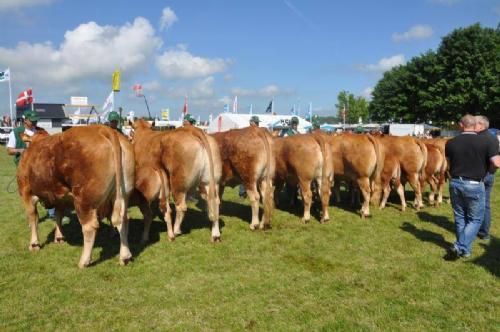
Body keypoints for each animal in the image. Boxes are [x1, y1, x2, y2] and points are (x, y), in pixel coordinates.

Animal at [17, 126, 135, 268]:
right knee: (123, 220)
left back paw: (84, 261)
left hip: (83, 200)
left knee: (90, 226)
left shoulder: (26, 192)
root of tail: (103, 129)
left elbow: (33, 218)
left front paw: (34, 244)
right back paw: (125, 256)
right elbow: (58, 216)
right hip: (123, 194)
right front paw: (59, 237)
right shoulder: (60, 198)